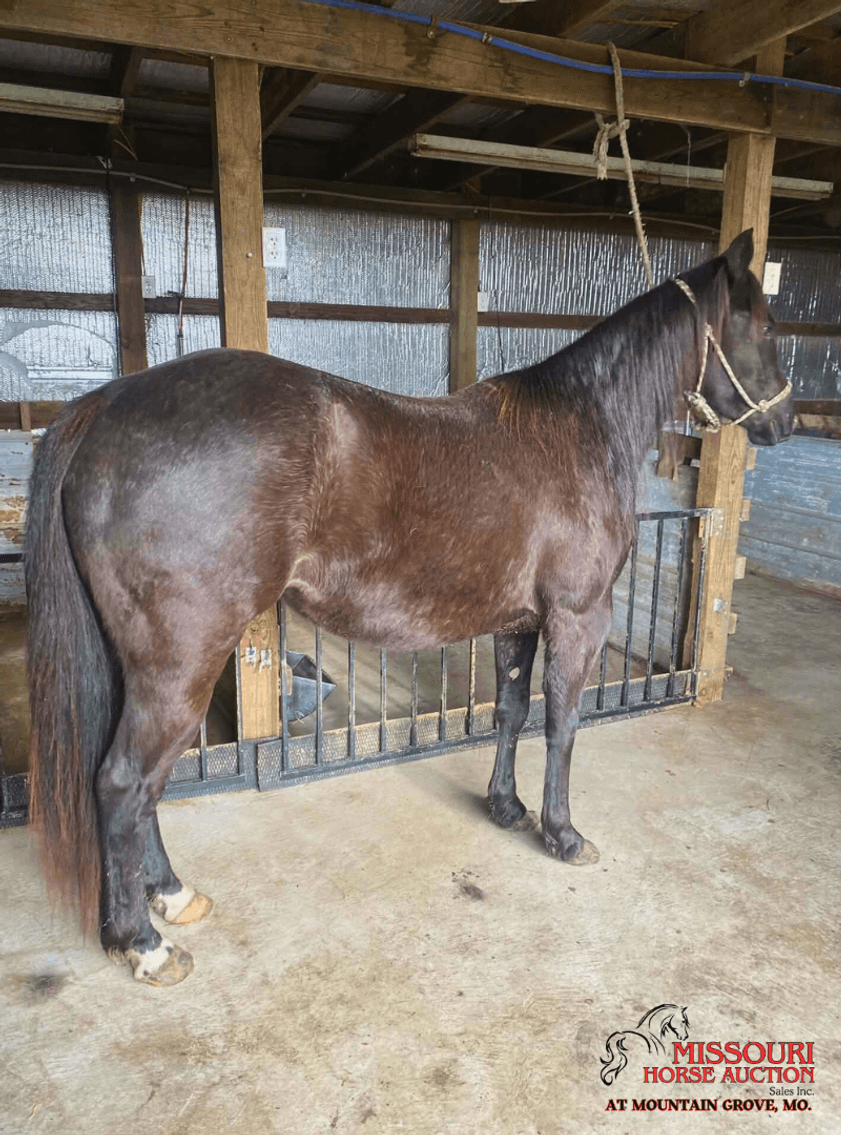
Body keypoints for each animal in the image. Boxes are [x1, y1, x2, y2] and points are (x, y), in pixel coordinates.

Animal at [25, 229, 793, 986]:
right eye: (763, 326)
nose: (785, 419)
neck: (580, 427)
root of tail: (105, 408)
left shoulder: (518, 624)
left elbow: (509, 711)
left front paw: (506, 806)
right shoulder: (579, 617)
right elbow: (562, 723)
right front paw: (563, 834)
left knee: (138, 782)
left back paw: (171, 896)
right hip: (181, 662)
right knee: (126, 781)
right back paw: (144, 941)